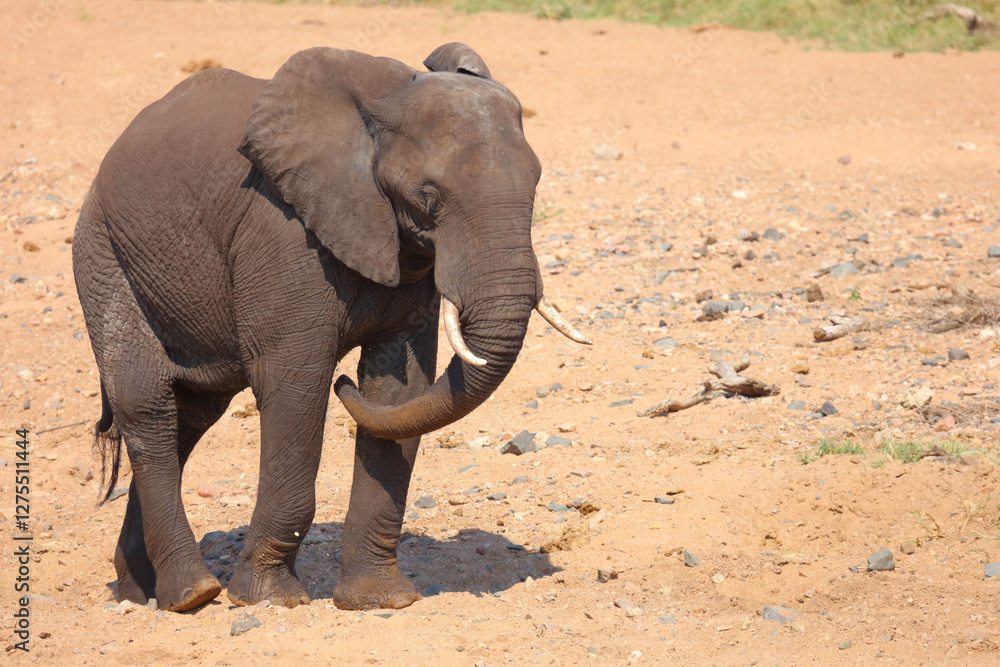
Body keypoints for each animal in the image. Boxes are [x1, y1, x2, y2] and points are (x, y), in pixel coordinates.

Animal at [72, 42, 591, 613]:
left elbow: (398, 391)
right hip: (102, 254)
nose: (344, 384)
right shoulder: (283, 233)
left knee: (191, 414)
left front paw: (381, 600)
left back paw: (140, 590)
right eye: (429, 194)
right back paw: (192, 594)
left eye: (536, 182)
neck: (384, 102)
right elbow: (295, 379)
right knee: (148, 407)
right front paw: (271, 599)